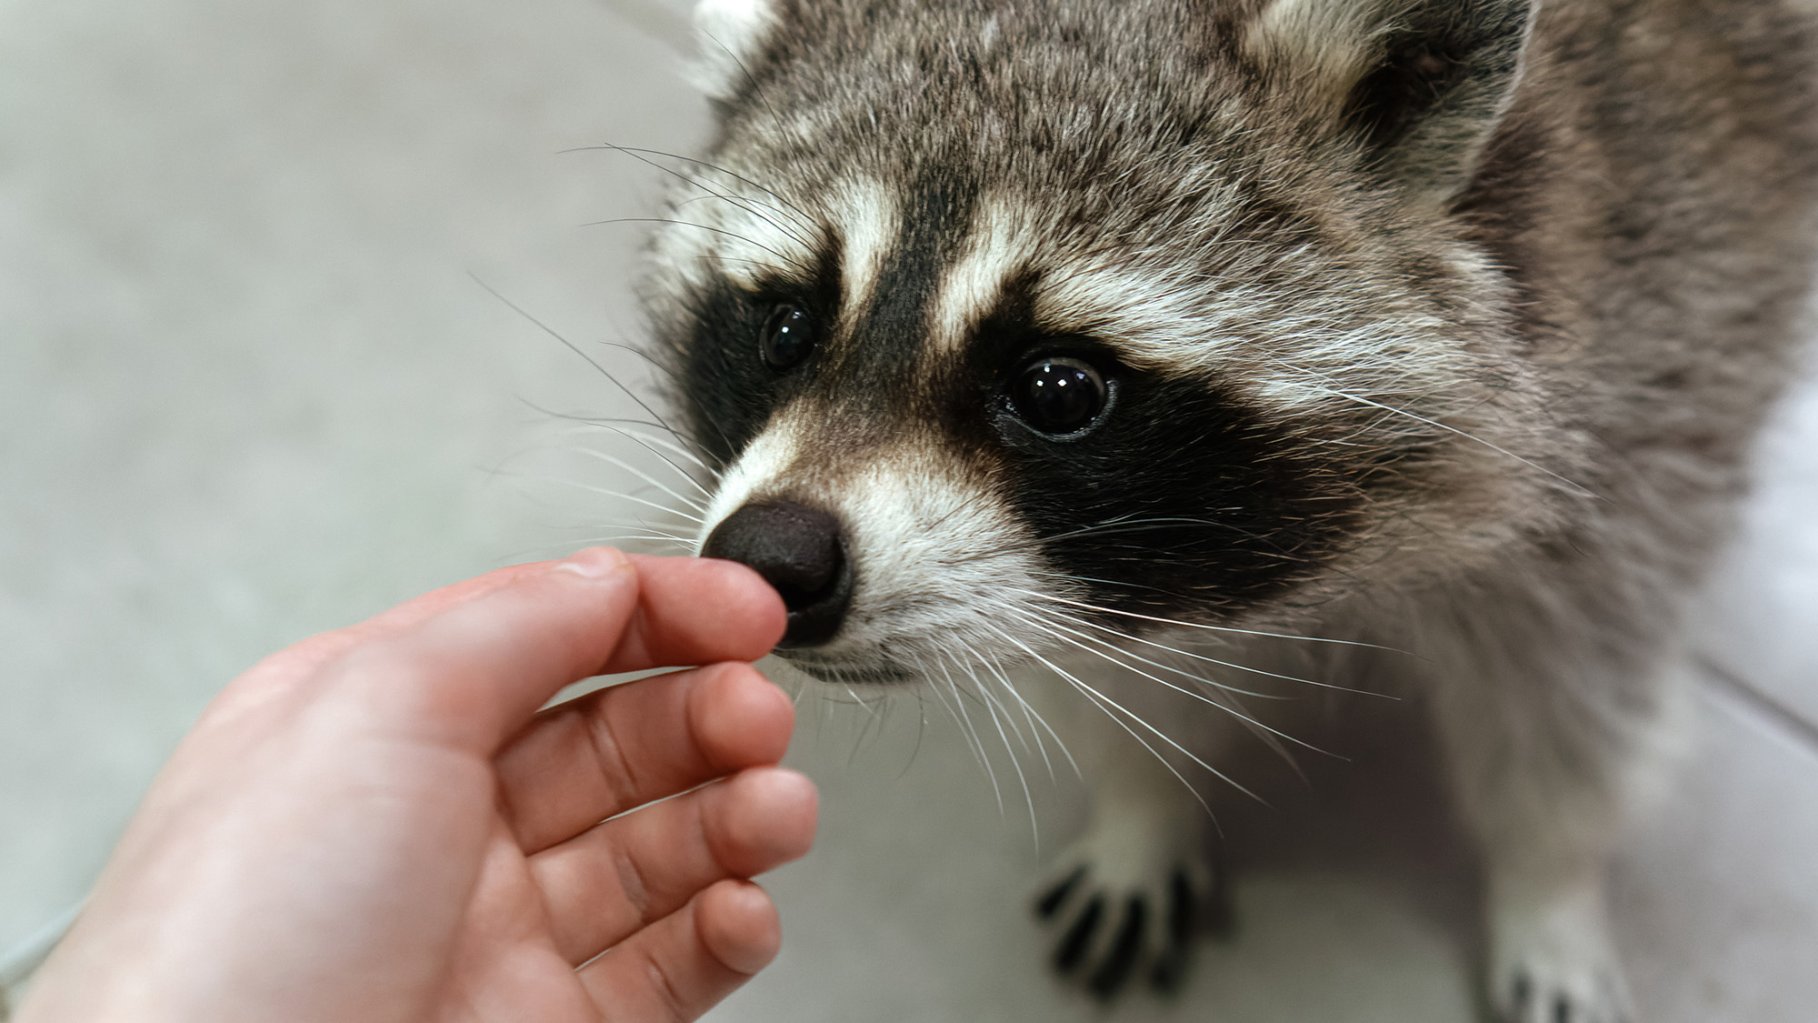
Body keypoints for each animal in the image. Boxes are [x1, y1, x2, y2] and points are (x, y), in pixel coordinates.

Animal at [632, 0, 1818, 1019]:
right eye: (786, 328)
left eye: (1058, 388)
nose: (769, 556)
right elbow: (1119, 672)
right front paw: (1143, 804)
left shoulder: (1659, 370)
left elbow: (1572, 698)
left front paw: (1552, 884)